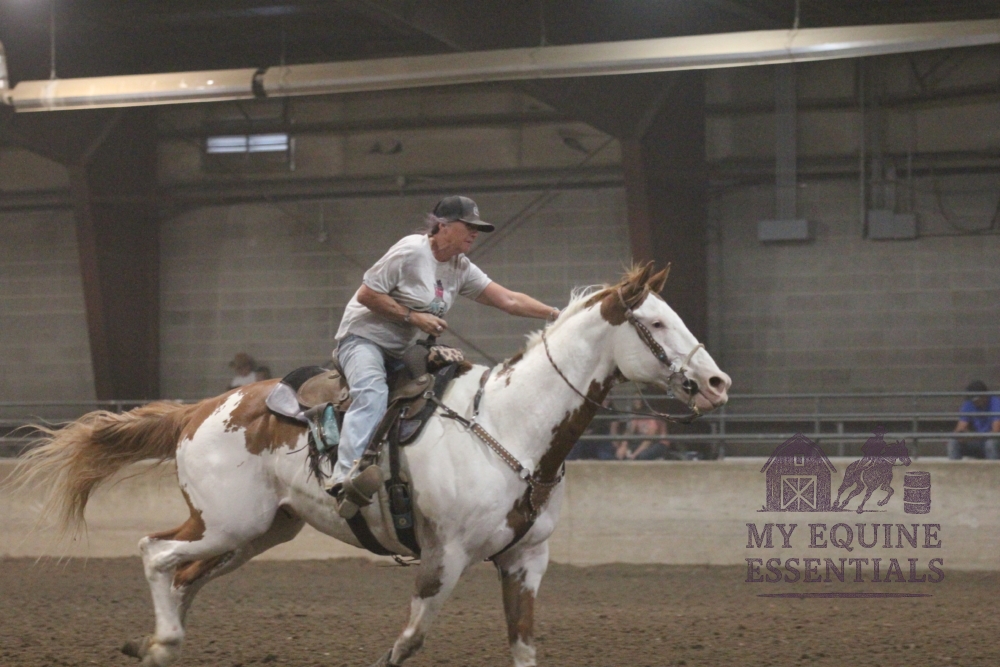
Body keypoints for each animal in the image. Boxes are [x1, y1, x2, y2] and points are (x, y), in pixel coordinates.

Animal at [15, 264, 730, 667]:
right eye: (656, 324)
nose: (718, 383)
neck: (509, 427)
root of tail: (202, 410)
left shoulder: (526, 560)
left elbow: (524, 646)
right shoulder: (445, 556)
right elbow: (408, 642)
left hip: (254, 532)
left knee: (182, 573)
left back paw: (156, 644)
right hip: (228, 525)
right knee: (154, 553)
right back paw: (161, 641)